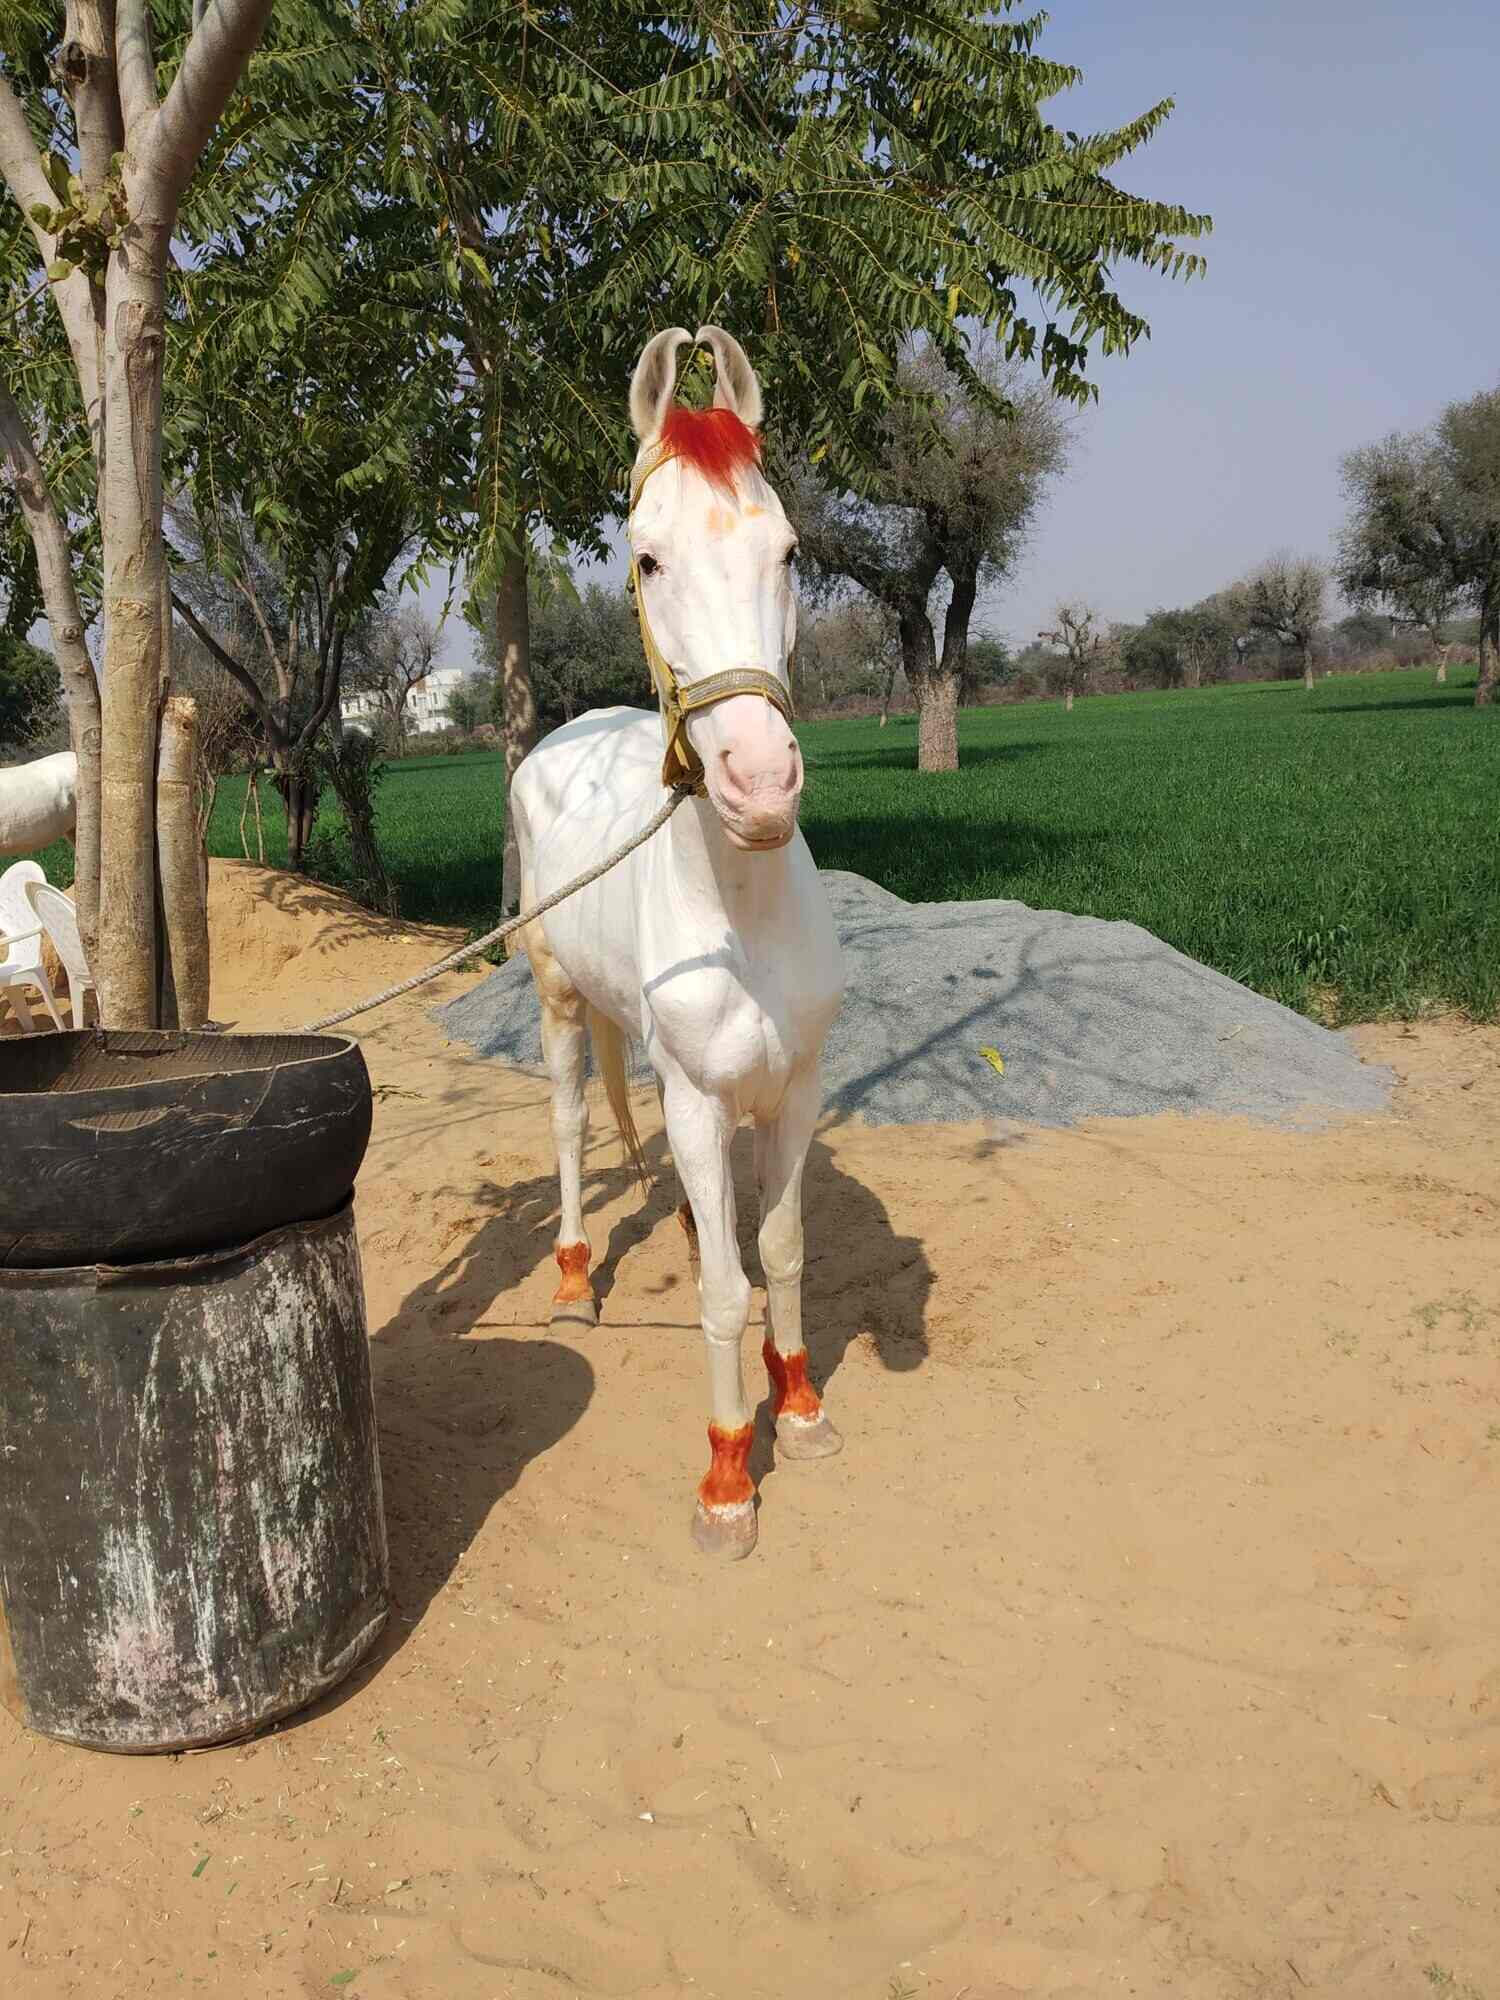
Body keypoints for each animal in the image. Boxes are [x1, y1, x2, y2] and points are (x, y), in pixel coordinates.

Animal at [512, 326, 846, 1560]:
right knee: (570, 1124)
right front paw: (728, 1478)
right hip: (559, 1001)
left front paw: (800, 1406)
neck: (741, 914)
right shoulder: (705, 1101)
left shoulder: (793, 1089)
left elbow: (779, 1254)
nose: (760, 784)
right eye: (647, 560)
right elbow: (722, 1295)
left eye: (788, 548)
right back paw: (571, 1280)